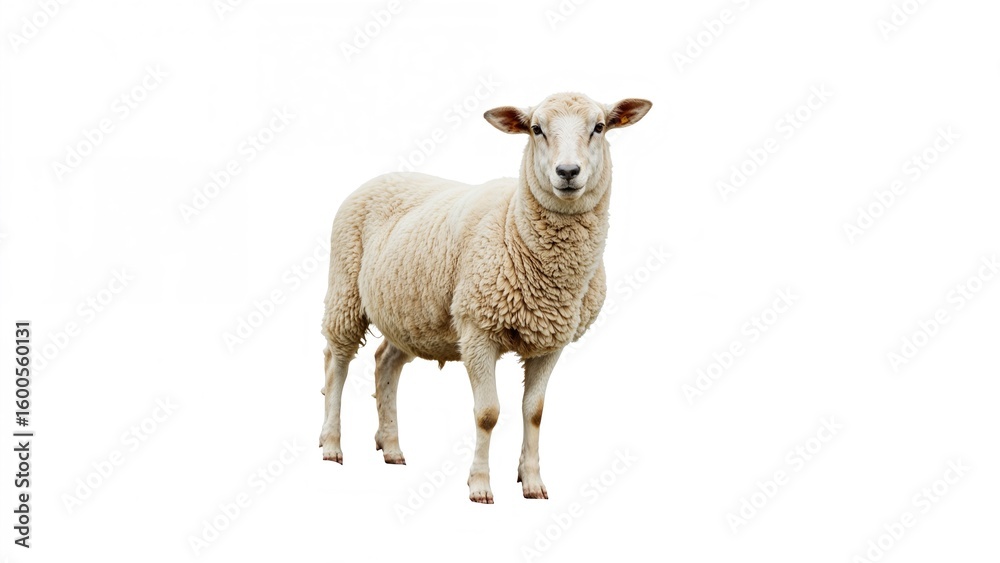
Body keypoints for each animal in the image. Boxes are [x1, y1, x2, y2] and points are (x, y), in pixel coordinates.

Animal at [319, 92, 652, 503]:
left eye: (600, 127)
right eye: (536, 129)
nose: (568, 172)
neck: (514, 226)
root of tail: (383, 176)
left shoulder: (552, 341)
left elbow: (534, 411)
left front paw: (532, 481)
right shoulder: (477, 330)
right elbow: (488, 413)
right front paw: (479, 485)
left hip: (409, 313)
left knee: (386, 362)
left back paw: (392, 447)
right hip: (345, 289)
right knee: (336, 364)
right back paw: (332, 445)